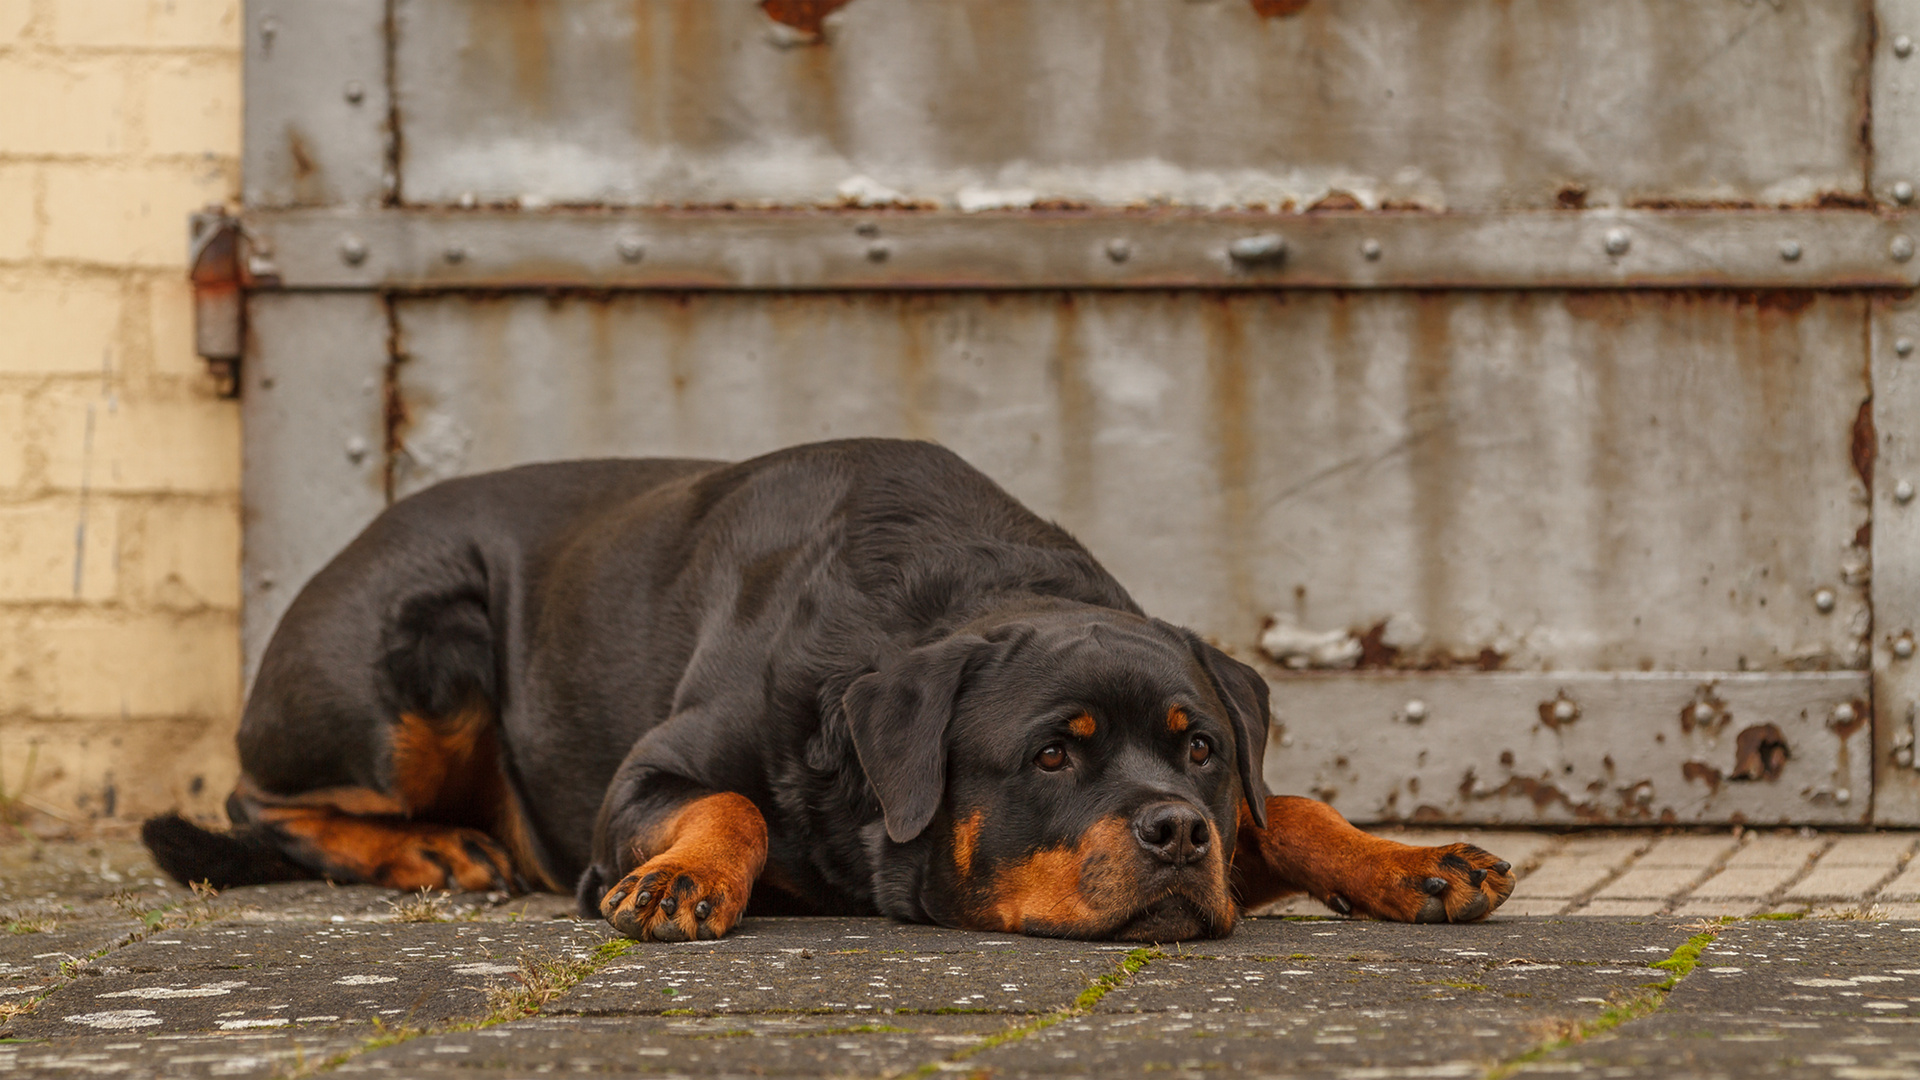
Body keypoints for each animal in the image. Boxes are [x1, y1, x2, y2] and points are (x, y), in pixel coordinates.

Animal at [145, 434, 1512, 933]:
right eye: (1052, 755)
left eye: (1202, 751)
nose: (1177, 832)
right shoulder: (644, 781)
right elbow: (727, 803)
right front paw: (683, 879)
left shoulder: (1235, 821)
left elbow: (1291, 812)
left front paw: (1412, 860)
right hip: (413, 656)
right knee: (251, 803)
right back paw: (432, 851)